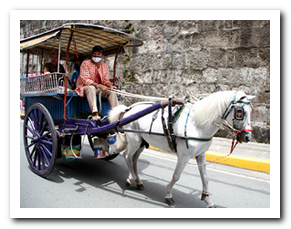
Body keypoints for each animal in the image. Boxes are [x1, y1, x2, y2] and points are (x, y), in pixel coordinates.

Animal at [109, 91, 256, 208]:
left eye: (251, 111)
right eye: (240, 112)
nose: (248, 137)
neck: (197, 123)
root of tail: (129, 108)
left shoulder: (201, 154)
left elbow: (205, 178)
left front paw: (207, 199)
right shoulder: (184, 156)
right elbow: (176, 176)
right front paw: (168, 195)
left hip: (142, 141)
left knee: (134, 159)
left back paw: (138, 182)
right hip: (134, 140)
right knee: (127, 156)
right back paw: (131, 179)